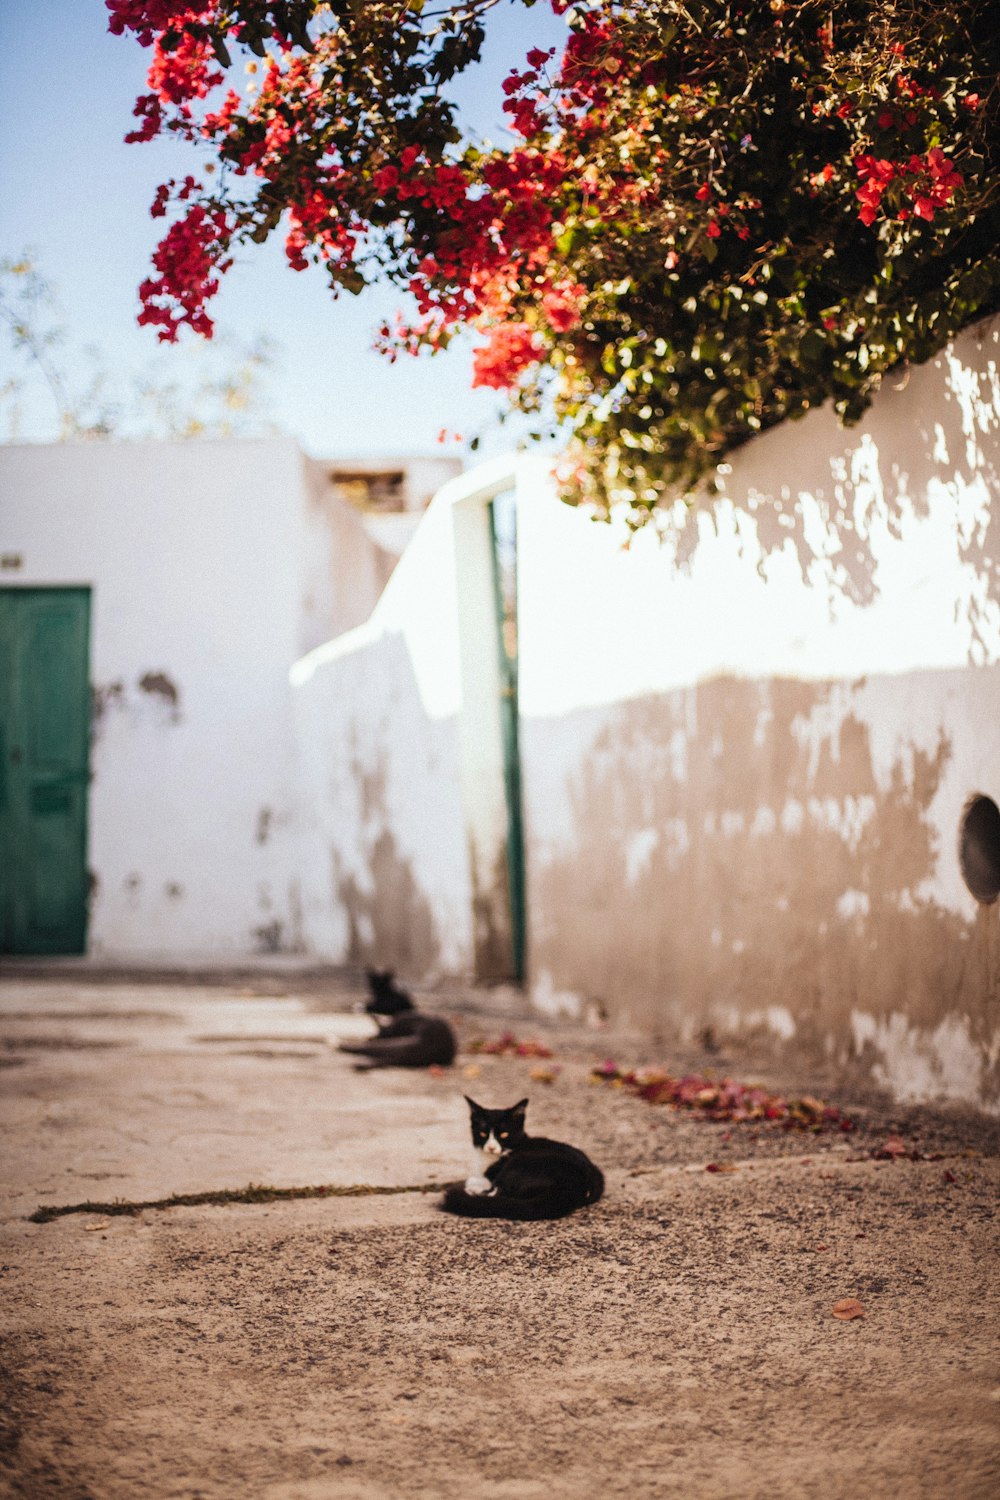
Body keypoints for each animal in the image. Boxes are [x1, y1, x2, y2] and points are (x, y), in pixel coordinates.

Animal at [440, 1098, 602, 1224]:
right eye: (483, 1133)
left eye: (504, 1134)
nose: (491, 1147)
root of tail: (569, 1189)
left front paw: (472, 1183)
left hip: (517, 1164)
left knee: (498, 1193)